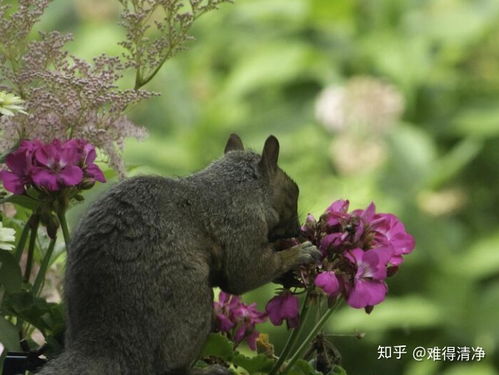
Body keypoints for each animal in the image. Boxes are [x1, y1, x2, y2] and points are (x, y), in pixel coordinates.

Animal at [37, 135, 322, 375]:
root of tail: (107, 342)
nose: (298, 230)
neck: (235, 189)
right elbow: (246, 272)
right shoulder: (241, 226)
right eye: (293, 191)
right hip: (192, 314)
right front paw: (299, 253)